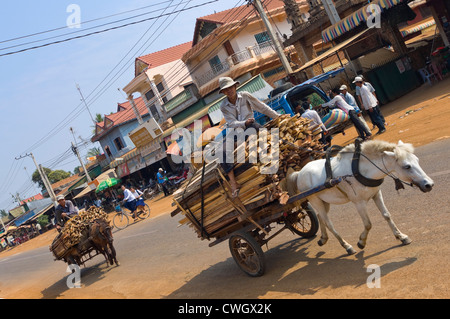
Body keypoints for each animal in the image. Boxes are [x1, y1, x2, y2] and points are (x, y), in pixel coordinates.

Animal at [288, 140, 432, 255]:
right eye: (407, 166)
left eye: (417, 160)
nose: (429, 184)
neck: (359, 169)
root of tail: (299, 173)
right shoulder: (359, 202)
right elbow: (368, 224)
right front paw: (361, 242)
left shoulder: (376, 194)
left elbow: (387, 215)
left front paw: (401, 237)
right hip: (315, 200)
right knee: (329, 223)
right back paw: (347, 246)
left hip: (325, 201)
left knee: (320, 216)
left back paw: (323, 239)